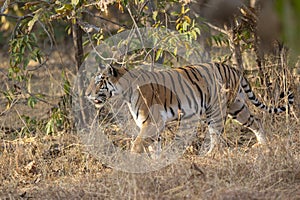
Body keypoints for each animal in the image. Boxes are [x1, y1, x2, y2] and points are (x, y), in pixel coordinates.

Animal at [84, 62, 292, 155]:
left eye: (99, 82)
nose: (86, 94)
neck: (125, 92)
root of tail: (231, 67)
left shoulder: (151, 122)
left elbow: (137, 144)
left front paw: (133, 162)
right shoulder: (153, 126)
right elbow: (154, 147)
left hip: (216, 110)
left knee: (216, 136)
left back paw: (209, 156)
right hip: (237, 107)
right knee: (255, 119)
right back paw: (263, 145)